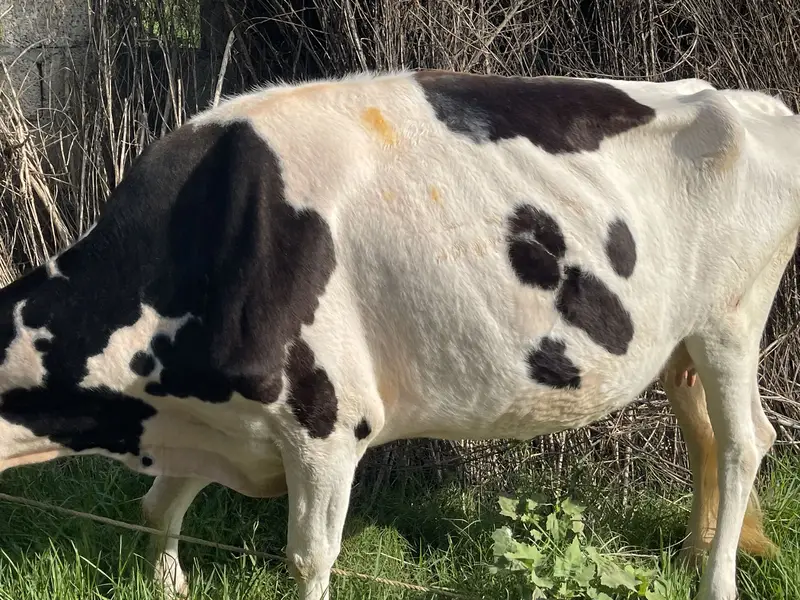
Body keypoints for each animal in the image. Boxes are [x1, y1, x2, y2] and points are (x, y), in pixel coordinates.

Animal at [0, 68, 796, 600]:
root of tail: (747, 98)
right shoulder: (214, 416)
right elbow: (157, 508)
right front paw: (168, 583)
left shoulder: (323, 423)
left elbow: (308, 559)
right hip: (679, 342)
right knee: (703, 435)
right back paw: (692, 555)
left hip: (730, 320)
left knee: (743, 443)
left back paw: (715, 582)